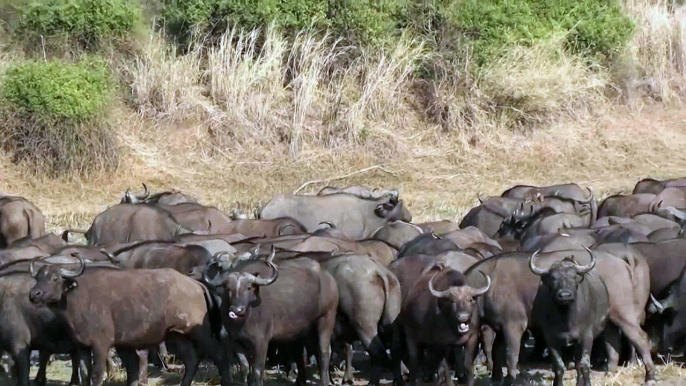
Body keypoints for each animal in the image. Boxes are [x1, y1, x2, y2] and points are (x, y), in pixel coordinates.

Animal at [28, 256, 231, 386]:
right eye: (37, 277)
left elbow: (96, 375)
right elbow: (85, 375)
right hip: (177, 336)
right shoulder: (82, 347)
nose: (34, 294)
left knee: (220, 355)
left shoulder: (101, 345)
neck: (76, 297)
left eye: (55, 278)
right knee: (191, 361)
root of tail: (196, 284)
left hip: (200, 332)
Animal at [322, 255, 404, 384]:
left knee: (377, 351)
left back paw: (373, 382)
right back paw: (398, 380)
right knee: (395, 348)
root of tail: (378, 271)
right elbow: (347, 349)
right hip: (391, 317)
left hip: (364, 326)